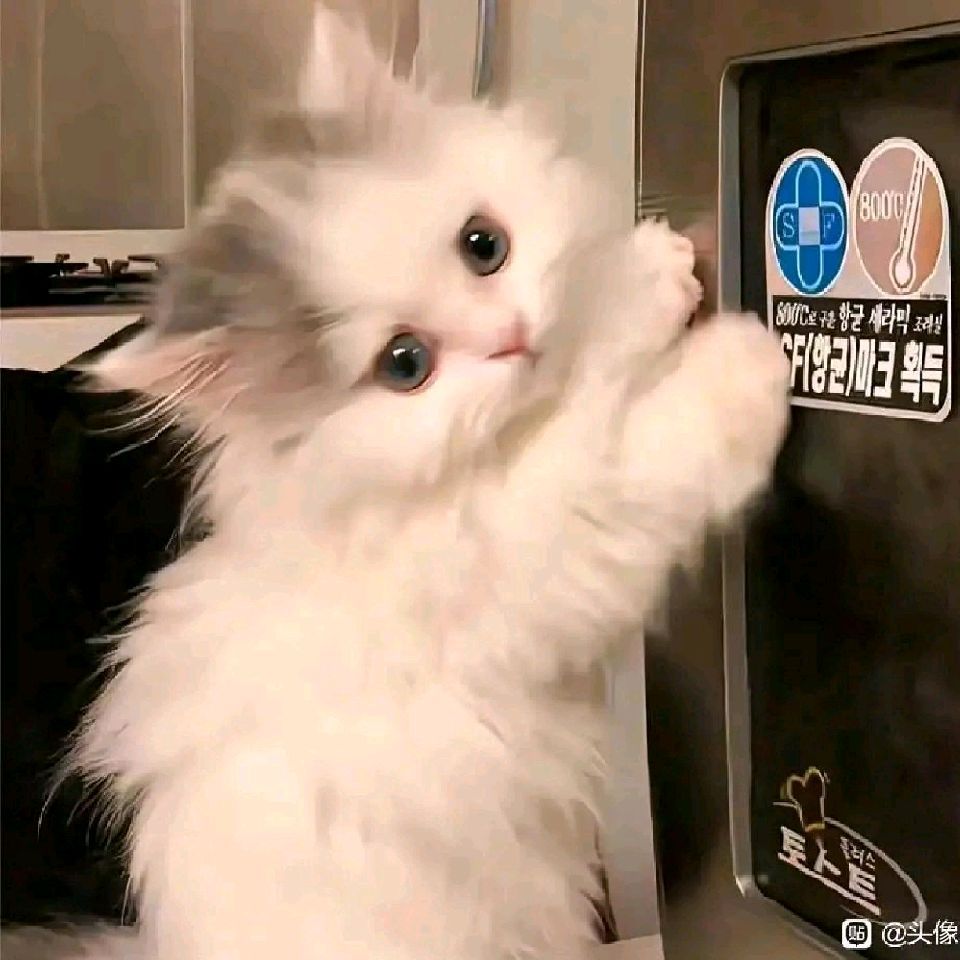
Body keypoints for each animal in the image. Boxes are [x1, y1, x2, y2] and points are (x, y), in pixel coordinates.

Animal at [1, 6, 790, 960]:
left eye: (484, 246)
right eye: (405, 365)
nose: (511, 336)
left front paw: (645, 274)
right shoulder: (546, 534)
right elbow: (622, 418)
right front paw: (738, 357)